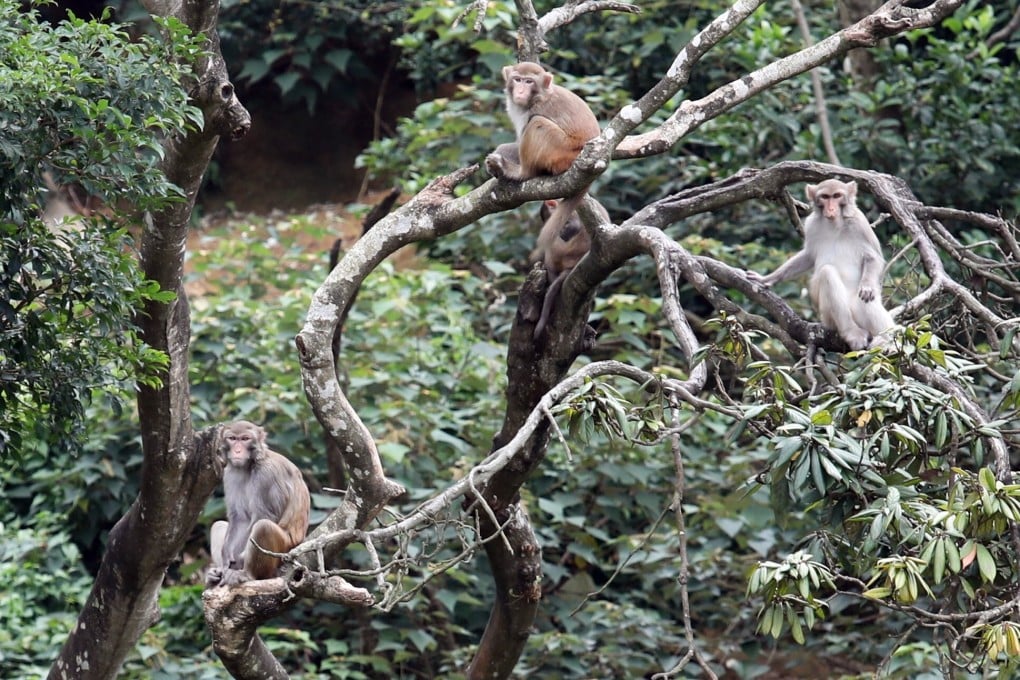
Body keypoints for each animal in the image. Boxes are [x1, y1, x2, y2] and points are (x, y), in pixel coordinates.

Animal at [206, 420, 311, 587]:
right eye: (232, 438)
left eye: (245, 439)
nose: (237, 450)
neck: (251, 464)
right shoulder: (230, 473)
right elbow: (240, 518)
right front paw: (225, 562)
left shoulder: (266, 474)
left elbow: (263, 516)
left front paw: (238, 563)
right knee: (219, 525)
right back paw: (215, 573)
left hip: (282, 551)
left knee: (263, 526)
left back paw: (248, 574)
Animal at [485, 61, 601, 244]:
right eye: (517, 79)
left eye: (529, 82)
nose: (520, 91)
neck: (537, 97)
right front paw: (498, 153)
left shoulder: (537, 108)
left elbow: (525, 136)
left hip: (561, 150)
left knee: (537, 123)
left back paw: (520, 172)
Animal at [747, 179, 895, 351]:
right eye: (825, 197)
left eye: (837, 196)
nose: (831, 208)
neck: (835, 224)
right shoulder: (811, 225)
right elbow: (808, 256)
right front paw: (767, 279)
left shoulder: (860, 223)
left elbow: (873, 258)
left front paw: (867, 287)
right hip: (828, 317)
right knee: (827, 273)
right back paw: (852, 333)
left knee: (866, 301)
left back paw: (888, 338)